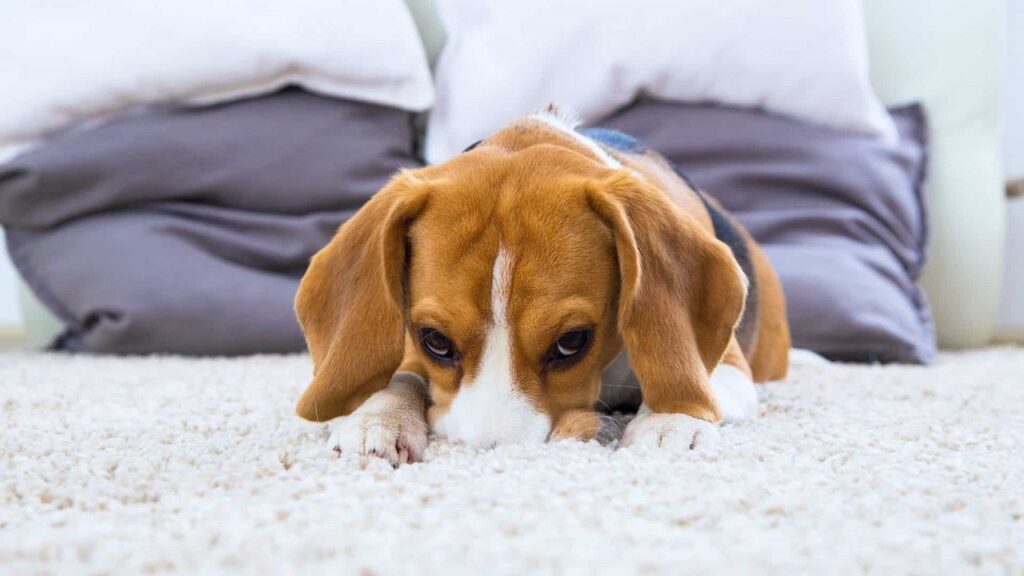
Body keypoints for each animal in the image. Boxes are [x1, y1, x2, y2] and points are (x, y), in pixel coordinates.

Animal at [292, 107, 786, 463]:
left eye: (571, 342)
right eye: (435, 341)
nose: (493, 456)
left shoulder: (730, 368)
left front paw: (671, 422)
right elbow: (399, 376)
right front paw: (377, 417)